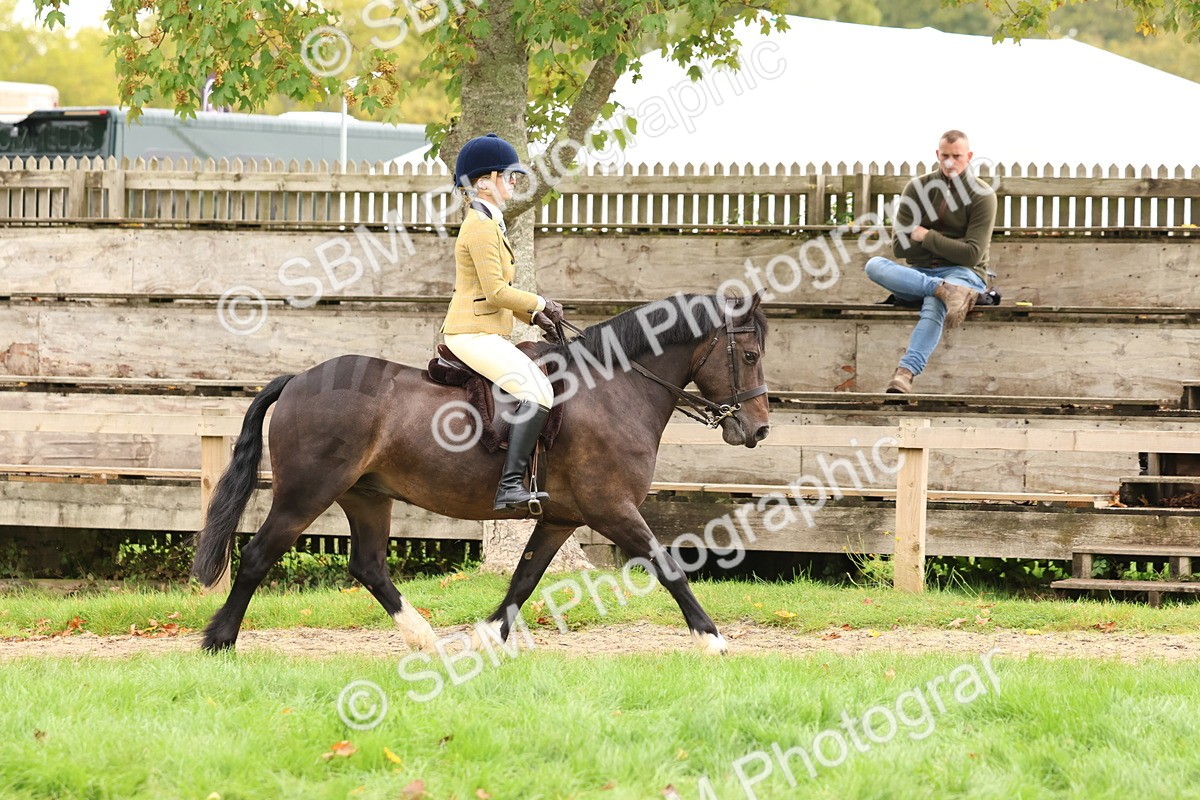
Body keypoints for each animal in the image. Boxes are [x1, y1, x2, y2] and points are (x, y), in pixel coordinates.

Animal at [193, 291, 770, 655]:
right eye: (749, 354)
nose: (759, 429)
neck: (613, 389)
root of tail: (297, 379)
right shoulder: (613, 509)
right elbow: (668, 567)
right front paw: (712, 639)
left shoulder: (561, 518)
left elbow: (526, 576)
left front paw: (488, 637)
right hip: (306, 494)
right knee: (258, 556)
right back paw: (219, 640)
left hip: (366, 496)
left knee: (369, 566)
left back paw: (424, 639)